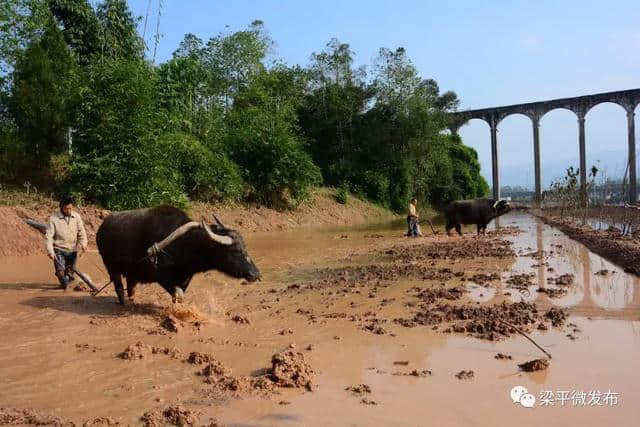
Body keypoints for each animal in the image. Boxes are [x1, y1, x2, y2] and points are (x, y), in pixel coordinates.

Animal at [95, 206, 260, 304]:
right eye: (237, 250)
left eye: (245, 247)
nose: (256, 274)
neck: (186, 244)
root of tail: (101, 228)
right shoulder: (163, 277)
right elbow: (178, 295)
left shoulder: (186, 278)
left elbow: (180, 297)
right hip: (111, 267)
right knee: (118, 287)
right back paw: (123, 303)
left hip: (132, 271)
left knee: (131, 285)